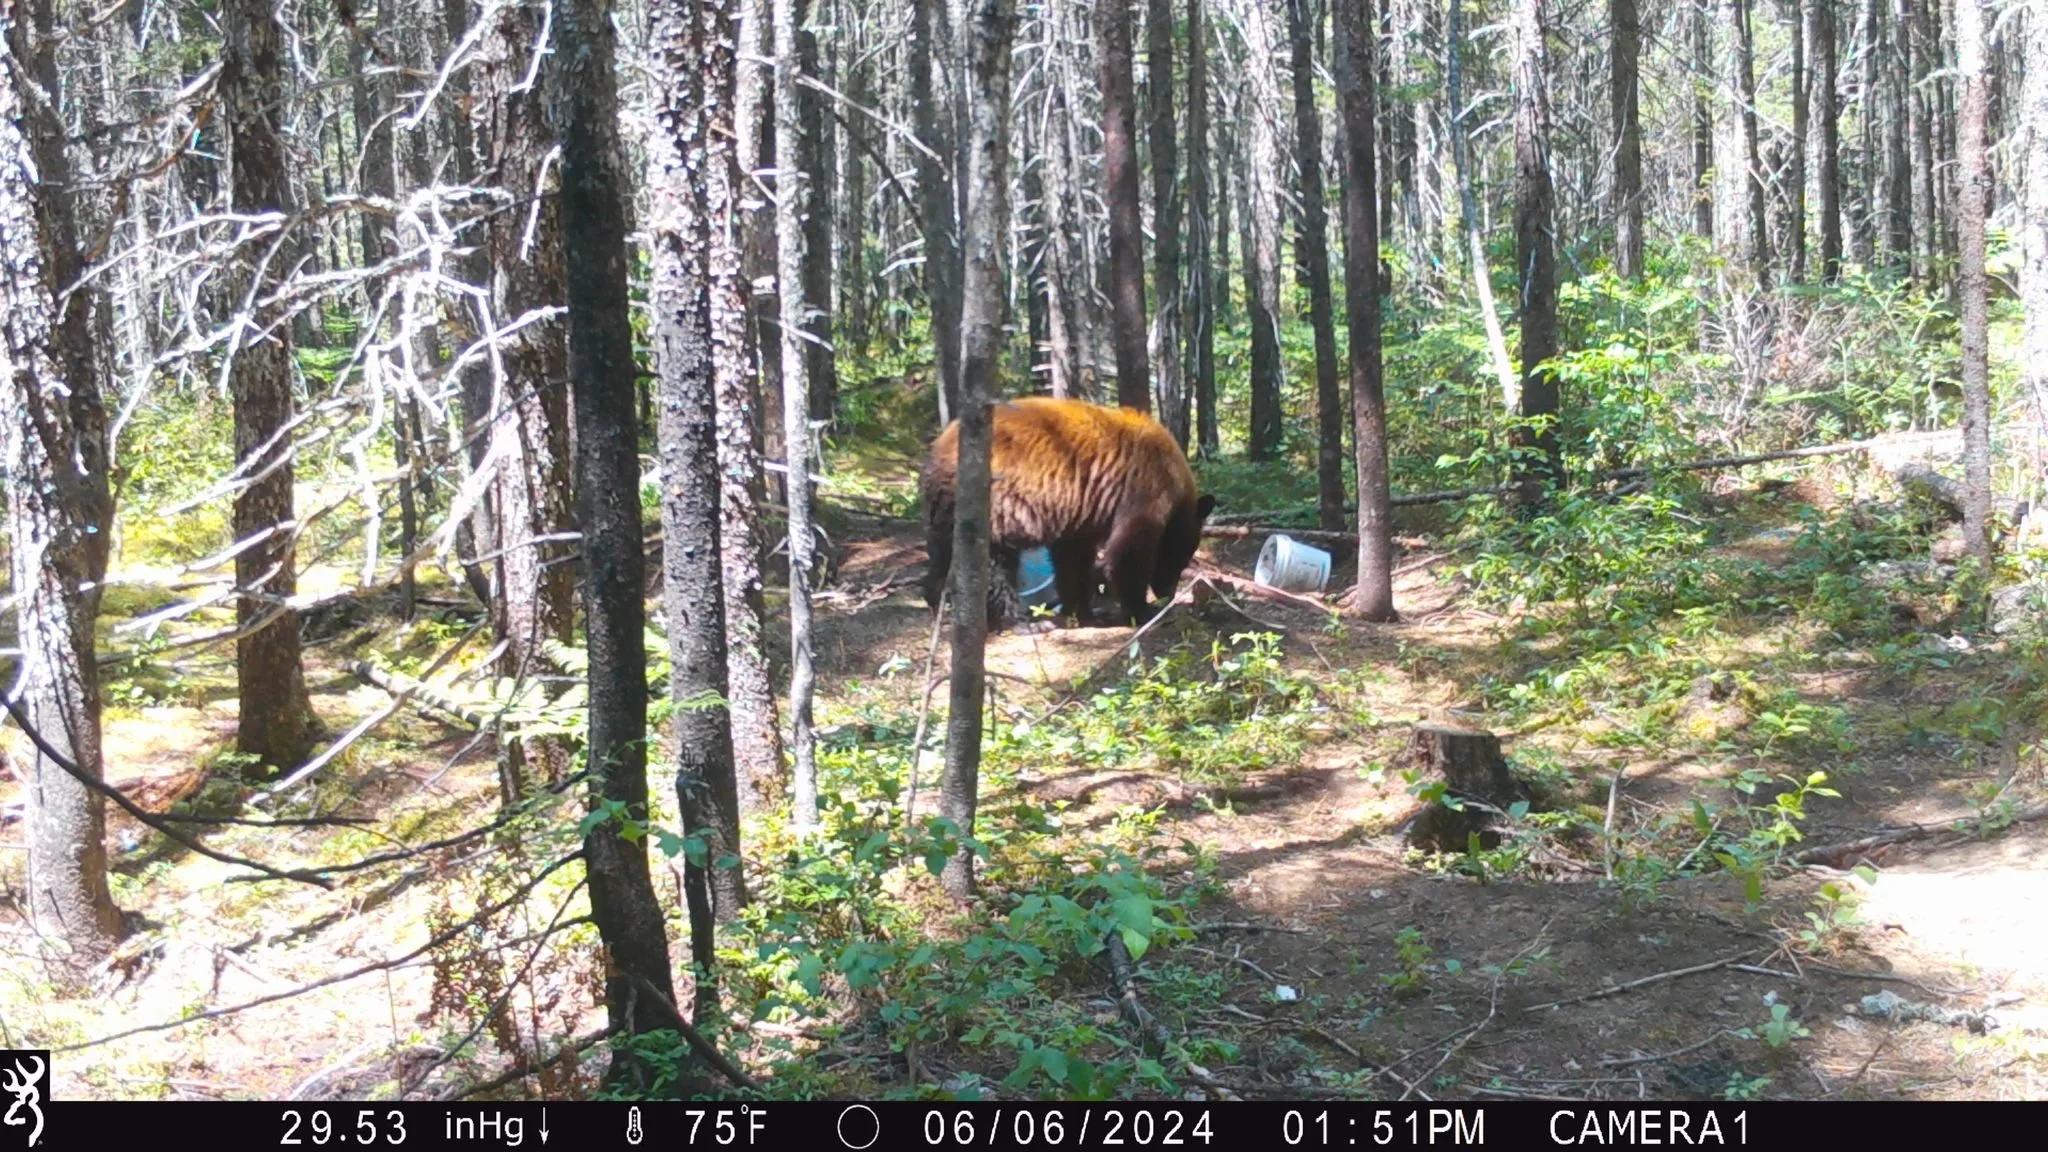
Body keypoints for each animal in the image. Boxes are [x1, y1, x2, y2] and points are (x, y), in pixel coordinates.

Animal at [921, 397, 1216, 629]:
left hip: (945, 508)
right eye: (1182, 558)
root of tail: (940, 449)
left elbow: (1073, 557)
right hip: (992, 503)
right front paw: (1142, 610)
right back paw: (1019, 621)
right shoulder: (1144, 491)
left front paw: (1083, 611)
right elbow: (1128, 551)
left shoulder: (1080, 513)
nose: (1169, 592)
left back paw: (938, 604)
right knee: (994, 563)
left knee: (942, 553)